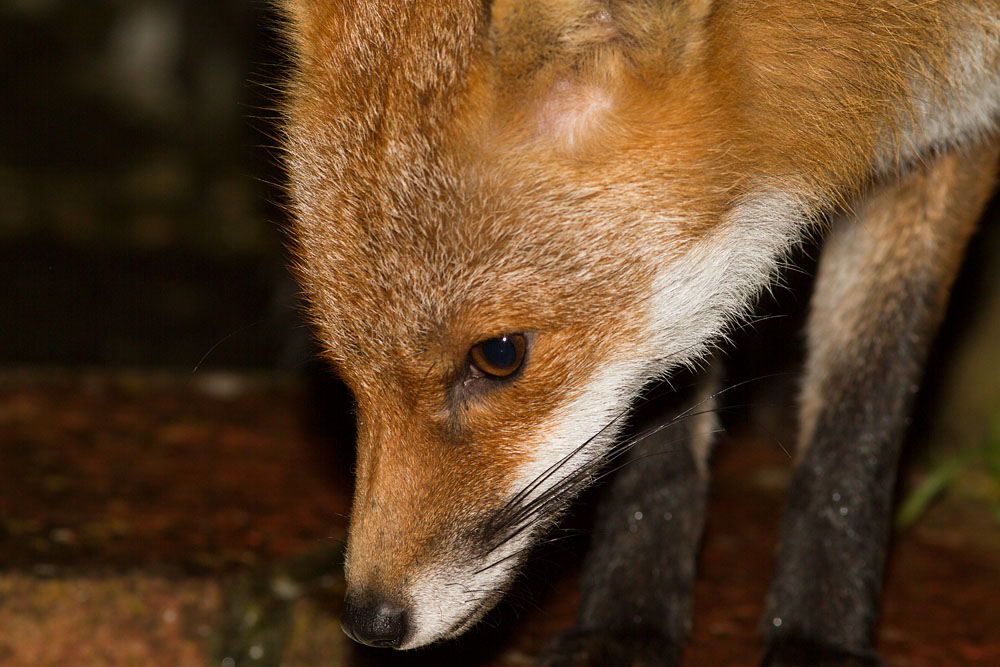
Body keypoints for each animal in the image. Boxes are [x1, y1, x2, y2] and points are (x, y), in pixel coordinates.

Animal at [278, 0, 1000, 664]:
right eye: (344, 365)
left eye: (499, 355)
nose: (371, 620)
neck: (879, 37)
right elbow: (663, 427)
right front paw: (626, 623)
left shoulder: (959, 130)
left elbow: (863, 416)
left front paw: (819, 639)